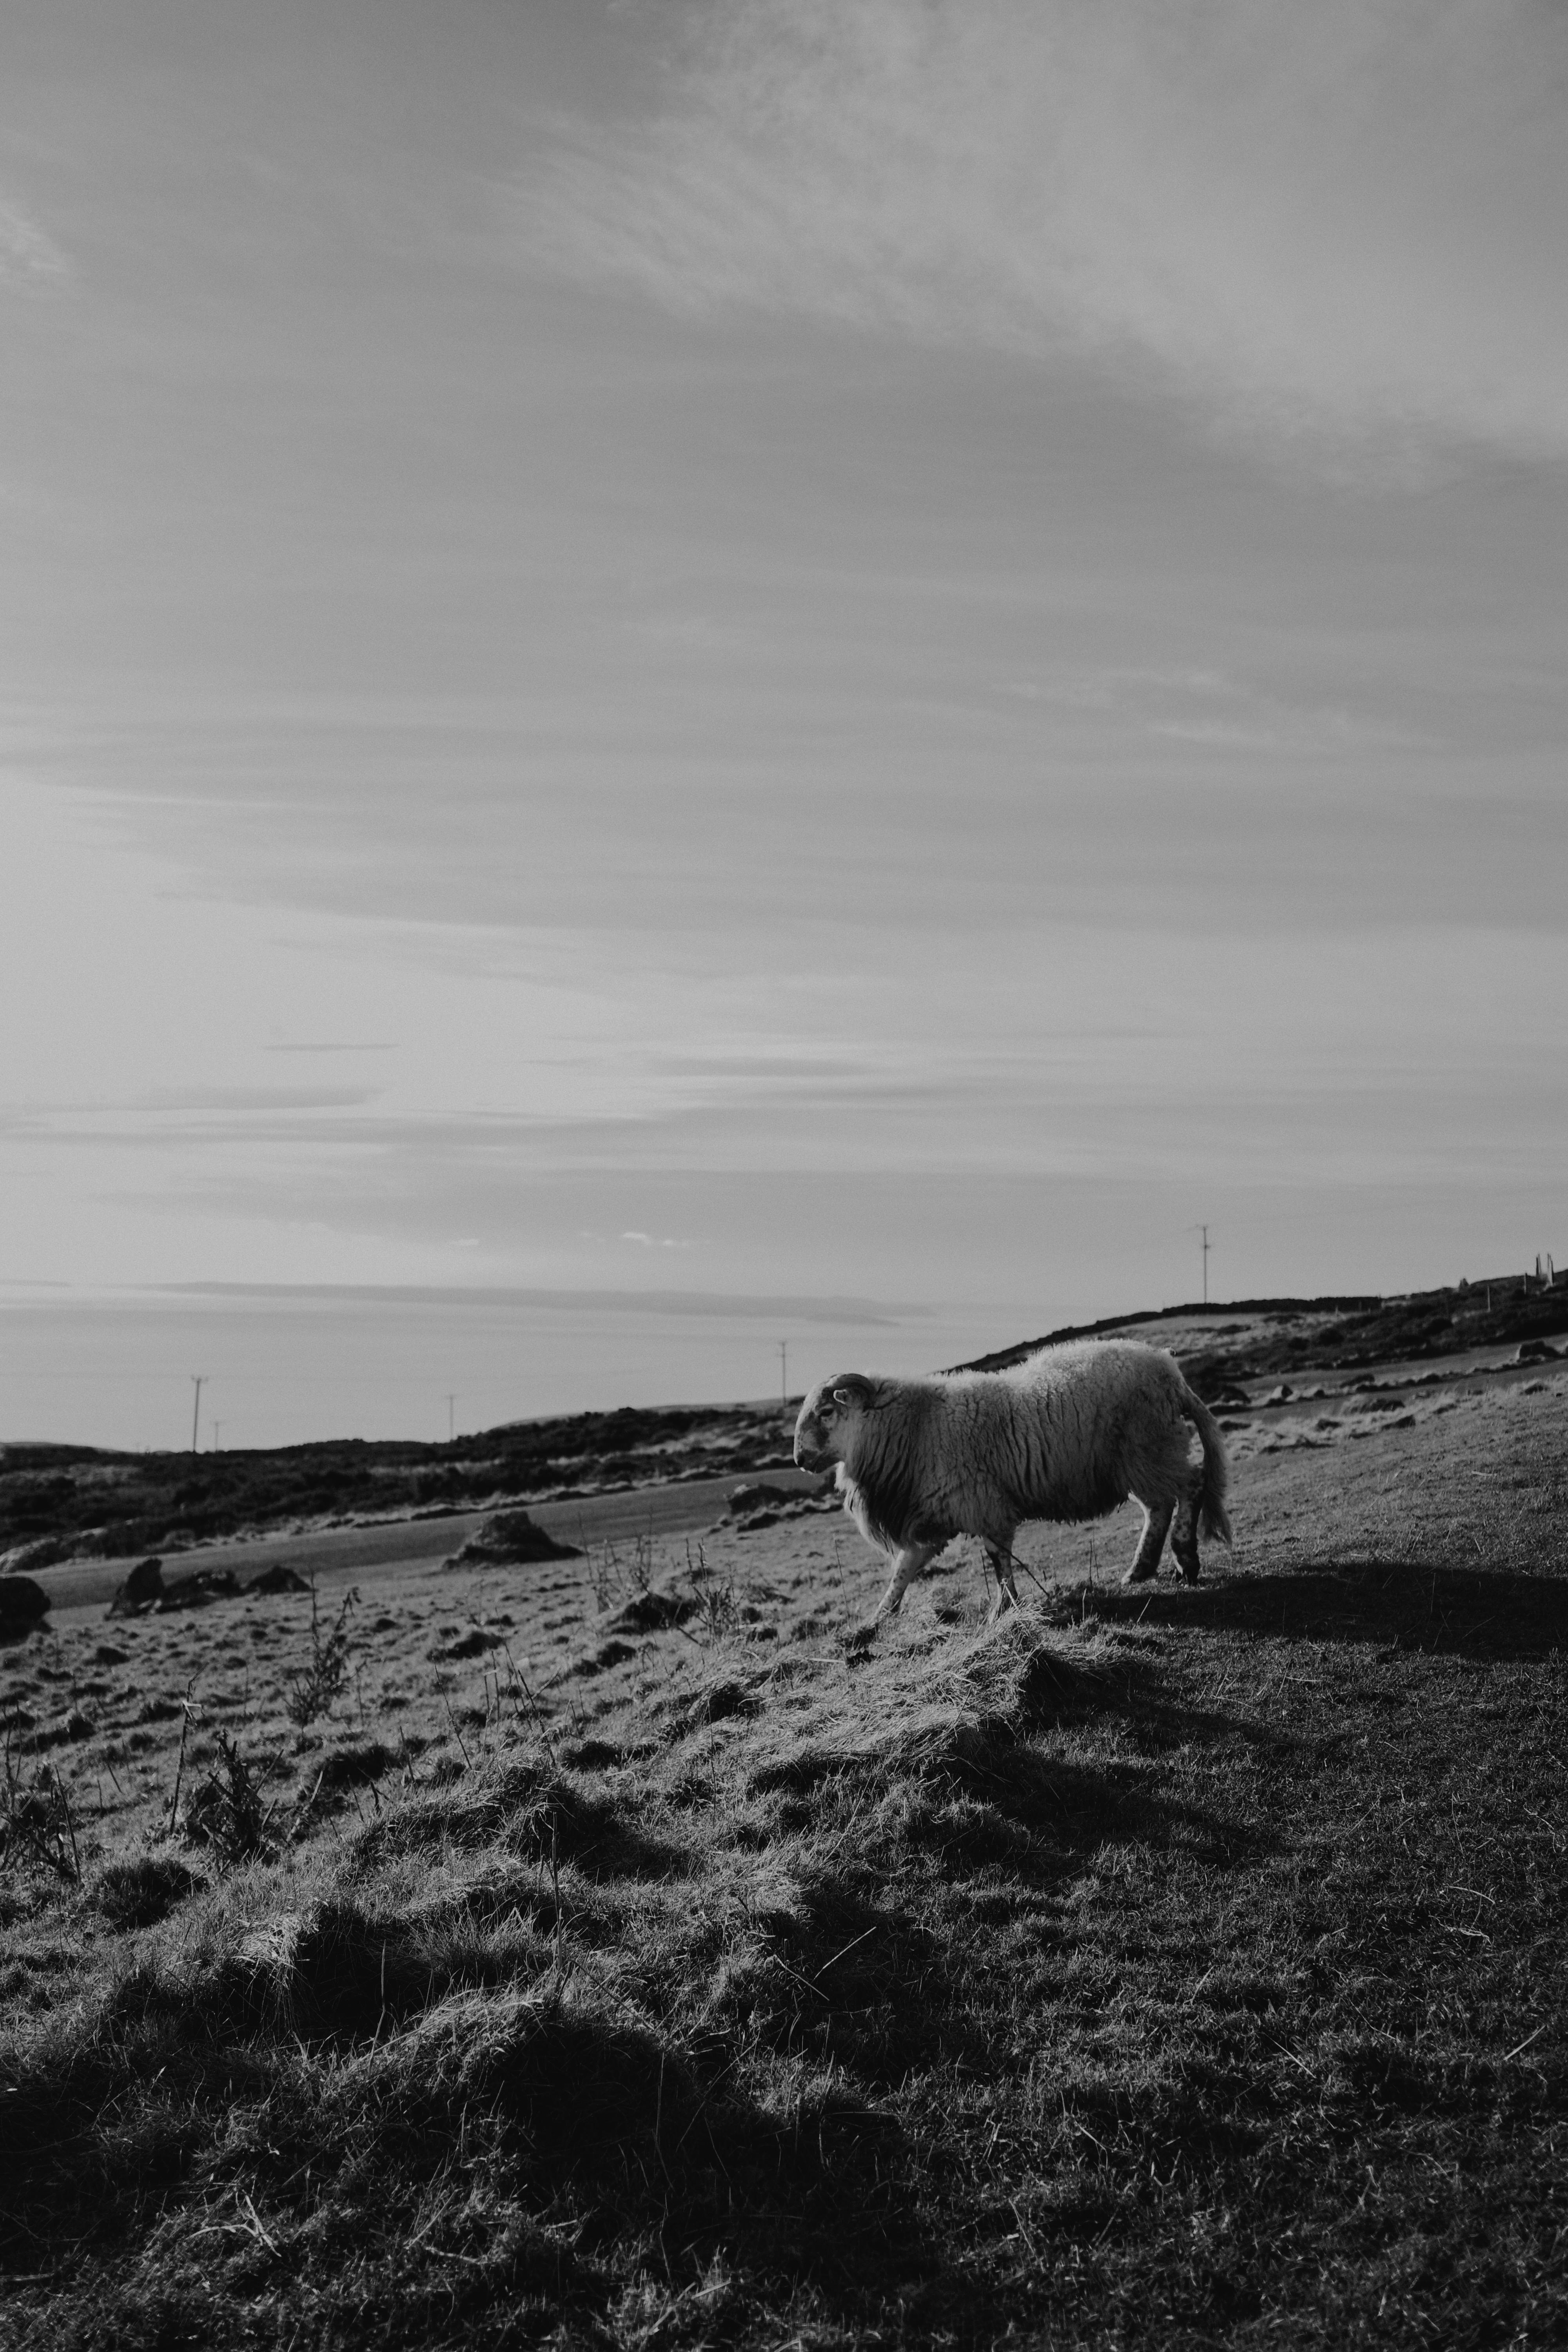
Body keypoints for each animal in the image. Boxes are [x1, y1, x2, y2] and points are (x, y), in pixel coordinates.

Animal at [793, 1338, 1231, 1642]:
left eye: (826, 1412)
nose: (798, 1459)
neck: (916, 1427)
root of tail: (1170, 1370)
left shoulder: (982, 1504)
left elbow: (998, 1559)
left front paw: (1006, 1609)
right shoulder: (932, 1516)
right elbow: (903, 1570)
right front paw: (876, 1620)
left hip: (1150, 1449)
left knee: (1190, 1487)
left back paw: (1185, 1559)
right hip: (1137, 1463)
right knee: (1158, 1507)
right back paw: (1141, 1570)